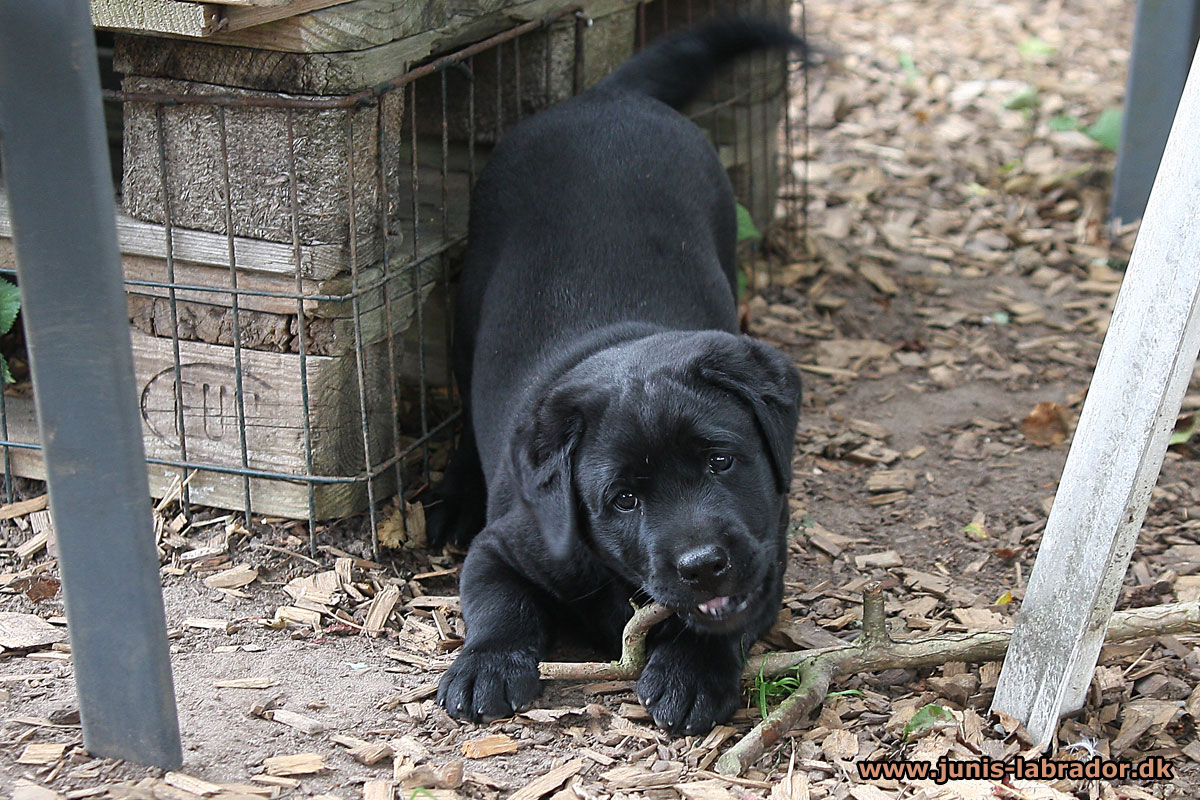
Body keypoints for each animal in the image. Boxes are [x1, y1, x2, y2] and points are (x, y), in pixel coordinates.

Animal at [432, 18, 806, 734]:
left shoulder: (766, 553)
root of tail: (604, 96)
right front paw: (486, 665)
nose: (703, 566)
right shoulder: (504, 546)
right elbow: (497, 605)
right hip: (467, 310)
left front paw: (690, 674)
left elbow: (724, 622)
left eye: (721, 462)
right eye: (624, 501)